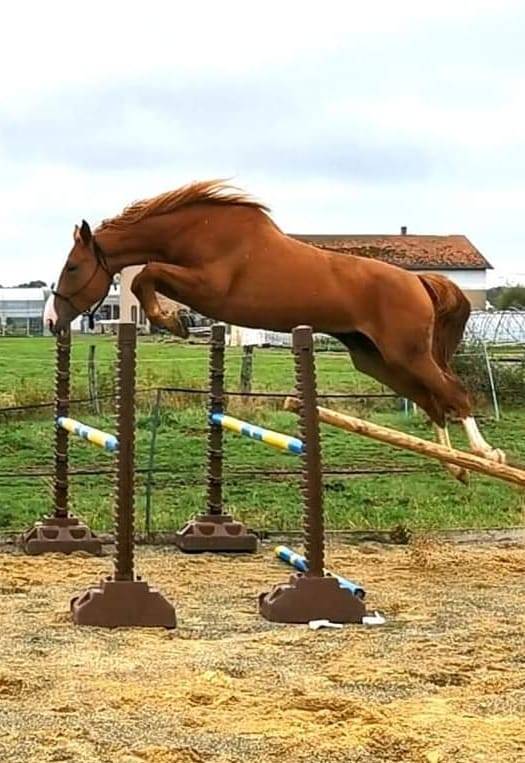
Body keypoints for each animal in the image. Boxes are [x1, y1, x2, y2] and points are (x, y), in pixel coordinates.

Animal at [45, 179, 506, 477]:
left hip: (405, 354)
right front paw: (171, 322)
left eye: (73, 267)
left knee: (452, 393)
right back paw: (455, 466)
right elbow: (148, 277)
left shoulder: (209, 288)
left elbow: (147, 275)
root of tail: (418, 281)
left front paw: (171, 323)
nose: (51, 321)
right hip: (375, 359)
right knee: (432, 402)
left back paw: (487, 455)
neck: (198, 232)